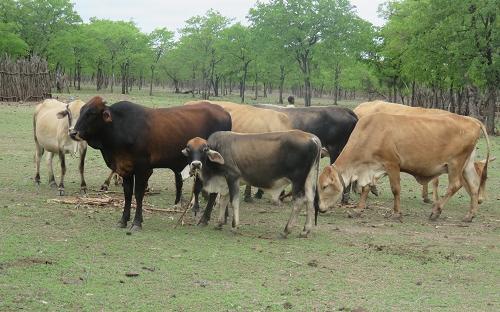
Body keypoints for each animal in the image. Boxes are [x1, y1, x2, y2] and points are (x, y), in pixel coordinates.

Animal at [70, 96, 232, 230]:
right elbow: (127, 194)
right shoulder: (125, 168)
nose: (73, 133)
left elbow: (138, 194)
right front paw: (123, 220)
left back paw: (205, 219)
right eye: (82, 111)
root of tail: (225, 112)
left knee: (214, 192)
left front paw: (136, 222)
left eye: (91, 113)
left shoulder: (143, 169)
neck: (120, 126)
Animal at [183, 130, 320, 238]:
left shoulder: (233, 177)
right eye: (189, 149)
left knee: (299, 201)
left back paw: (286, 230)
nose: (196, 164)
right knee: (310, 200)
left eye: (204, 149)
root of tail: (313, 138)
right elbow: (223, 201)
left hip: (297, 180)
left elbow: (233, 201)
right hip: (309, 178)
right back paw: (305, 230)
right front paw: (219, 223)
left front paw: (234, 226)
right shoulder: (224, 182)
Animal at [318, 113, 490, 223]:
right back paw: (470, 215)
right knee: (474, 186)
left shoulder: (392, 164)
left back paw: (436, 211)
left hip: (455, 164)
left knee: (455, 185)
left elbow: (395, 189)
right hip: (467, 164)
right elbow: (366, 188)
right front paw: (357, 210)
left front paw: (396, 214)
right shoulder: (373, 169)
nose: (319, 208)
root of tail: (473, 120)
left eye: (325, 186)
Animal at [352, 100, 492, 205]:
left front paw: (426, 197)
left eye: (485, 177)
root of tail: (359, 107)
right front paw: (433, 198)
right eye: (480, 177)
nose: (480, 200)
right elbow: (435, 181)